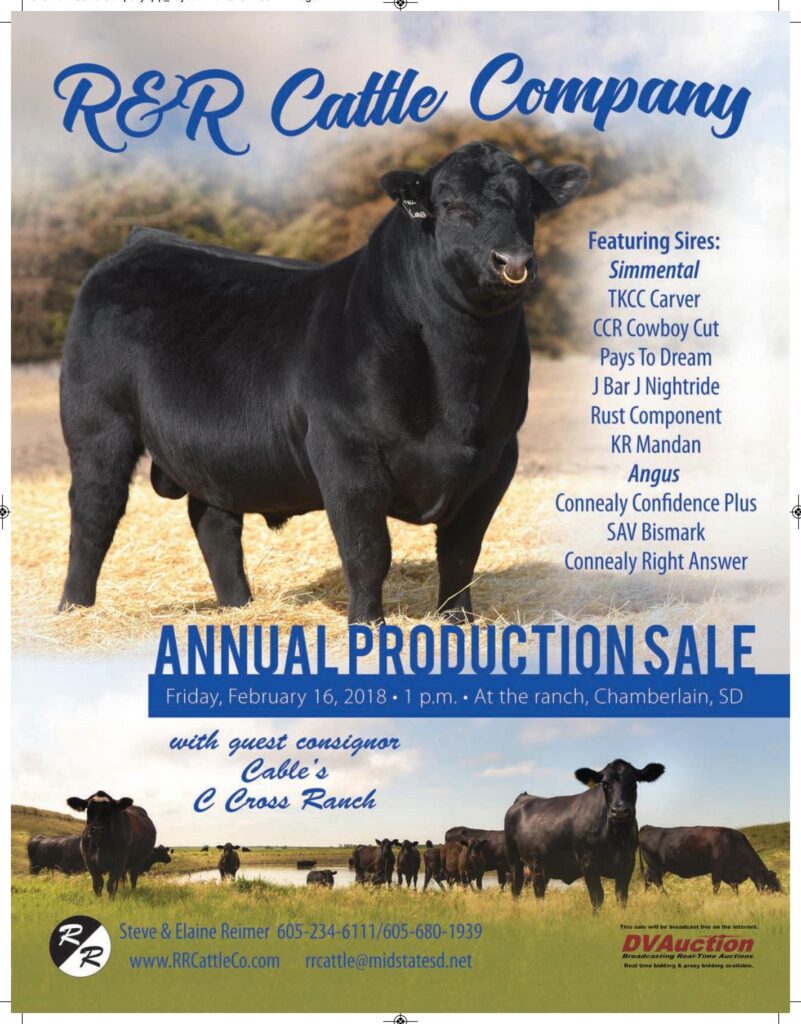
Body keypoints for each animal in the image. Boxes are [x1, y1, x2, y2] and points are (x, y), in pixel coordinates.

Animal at [57, 142, 588, 624]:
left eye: (529, 206)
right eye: (455, 205)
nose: (512, 260)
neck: (458, 388)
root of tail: (146, 239)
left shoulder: (497, 458)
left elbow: (461, 552)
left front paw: (458, 621)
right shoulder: (345, 452)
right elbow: (368, 552)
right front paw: (367, 625)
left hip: (210, 453)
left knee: (213, 520)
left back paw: (238, 606)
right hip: (98, 423)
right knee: (94, 511)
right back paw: (73, 609)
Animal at [504, 760, 665, 912]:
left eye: (633, 781)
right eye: (605, 784)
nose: (619, 811)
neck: (616, 837)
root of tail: (524, 797)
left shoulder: (627, 864)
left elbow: (622, 898)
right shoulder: (588, 862)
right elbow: (597, 897)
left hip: (540, 867)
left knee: (539, 892)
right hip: (514, 861)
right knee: (516, 889)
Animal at [638, 825, 782, 895]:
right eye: (772, 885)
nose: (780, 895)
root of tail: (648, 827)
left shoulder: (729, 875)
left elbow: (735, 888)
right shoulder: (717, 870)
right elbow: (716, 887)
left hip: (659, 867)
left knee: (648, 880)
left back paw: (647, 896)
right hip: (655, 866)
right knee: (657, 882)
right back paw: (666, 896)